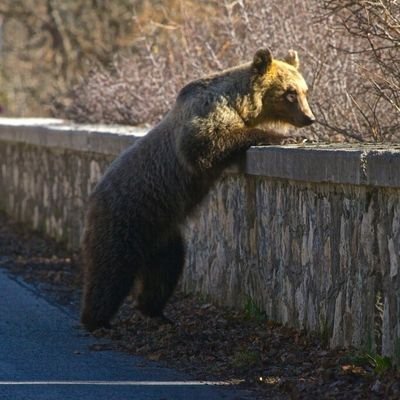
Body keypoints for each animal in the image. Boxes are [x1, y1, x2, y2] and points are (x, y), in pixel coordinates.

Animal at [79, 47, 316, 332]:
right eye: (289, 92)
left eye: (305, 90)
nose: (309, 118)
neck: (240, 104)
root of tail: (93, 195)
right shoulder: (206, 113)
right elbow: (208, 142)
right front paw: (286, 136)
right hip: (126, 216)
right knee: (111, 268)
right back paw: (97, 320)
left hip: (163, 235)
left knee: (166, 269)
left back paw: (155, 312)